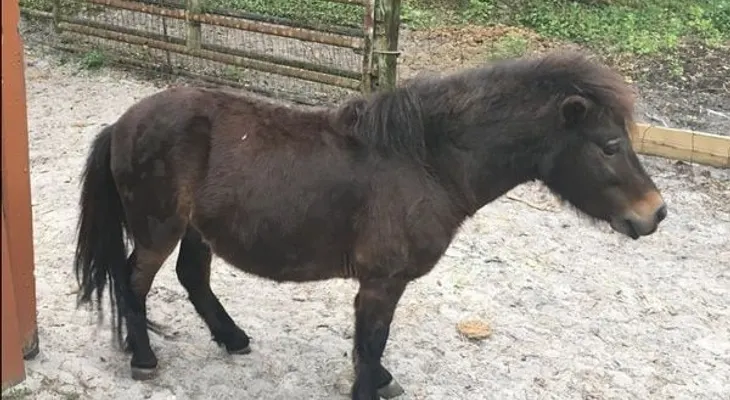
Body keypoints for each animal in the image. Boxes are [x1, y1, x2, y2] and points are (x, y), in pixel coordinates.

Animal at [73, 51, 667, 400]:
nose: (656, 212)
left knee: (192, 277)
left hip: (196, 229)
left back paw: (231, 338)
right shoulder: (382, 281)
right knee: (133, 282)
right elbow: (372, 340)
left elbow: (369, 345)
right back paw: (144, 358)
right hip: (159, 229)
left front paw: (380, 380)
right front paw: (372, 383)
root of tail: (122, 124)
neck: (425, 161)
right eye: (609, 145)